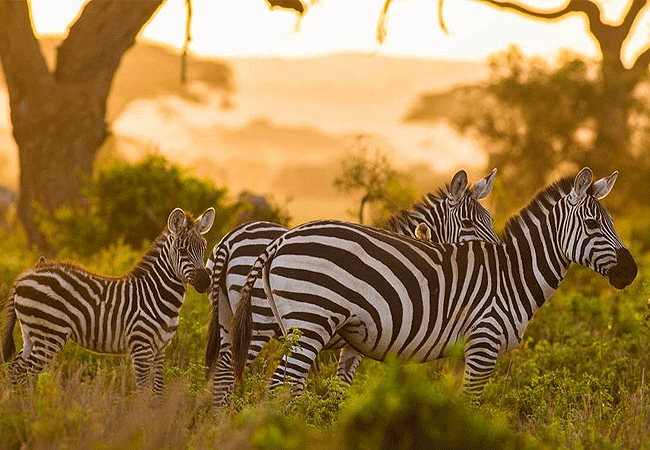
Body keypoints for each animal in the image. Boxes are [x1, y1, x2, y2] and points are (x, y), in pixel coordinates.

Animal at [0, 207, 215, 394]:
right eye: (182, 250)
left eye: (204, 248)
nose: (205, 282)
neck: (157, 294)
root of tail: (25, 275)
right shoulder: (141, 346)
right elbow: (143, 392)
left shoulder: (161, 348)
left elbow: (159, 392)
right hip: (49, 334)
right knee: (26, 372)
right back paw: (31, 409)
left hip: (31, 333)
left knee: (15, 370)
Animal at [202, 169, 496, 408]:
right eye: (468, 224)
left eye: (491, 220)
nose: (497, 250)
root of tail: (230, 239)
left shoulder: (354, 343)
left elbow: (339, 388)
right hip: (259, 321)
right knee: (229, 371)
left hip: (227, 316)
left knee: (222, 371)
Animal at [230, 169, 636, 400]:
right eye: (592, 225)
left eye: (612, 223)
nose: (631, 272)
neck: (513, 276)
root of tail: (281, 240)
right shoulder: (484, 344)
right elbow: (471, 405)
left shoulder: (461, 351)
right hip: (303, 323)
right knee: (277, 385)